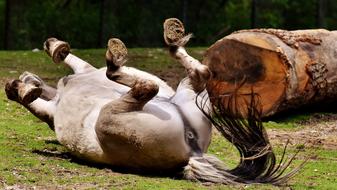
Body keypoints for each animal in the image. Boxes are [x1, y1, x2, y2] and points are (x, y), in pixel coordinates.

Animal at [5, 18, 304, 185]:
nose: (14, 83)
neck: (62, 92)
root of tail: (194, 153)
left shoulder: (83, 71)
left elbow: (67, 61)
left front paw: (52, 50)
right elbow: (36, 100)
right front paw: (27, 87)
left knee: (150, 83)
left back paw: (134, 49)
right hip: (174, 97)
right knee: (192, 75)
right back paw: (158, 42)